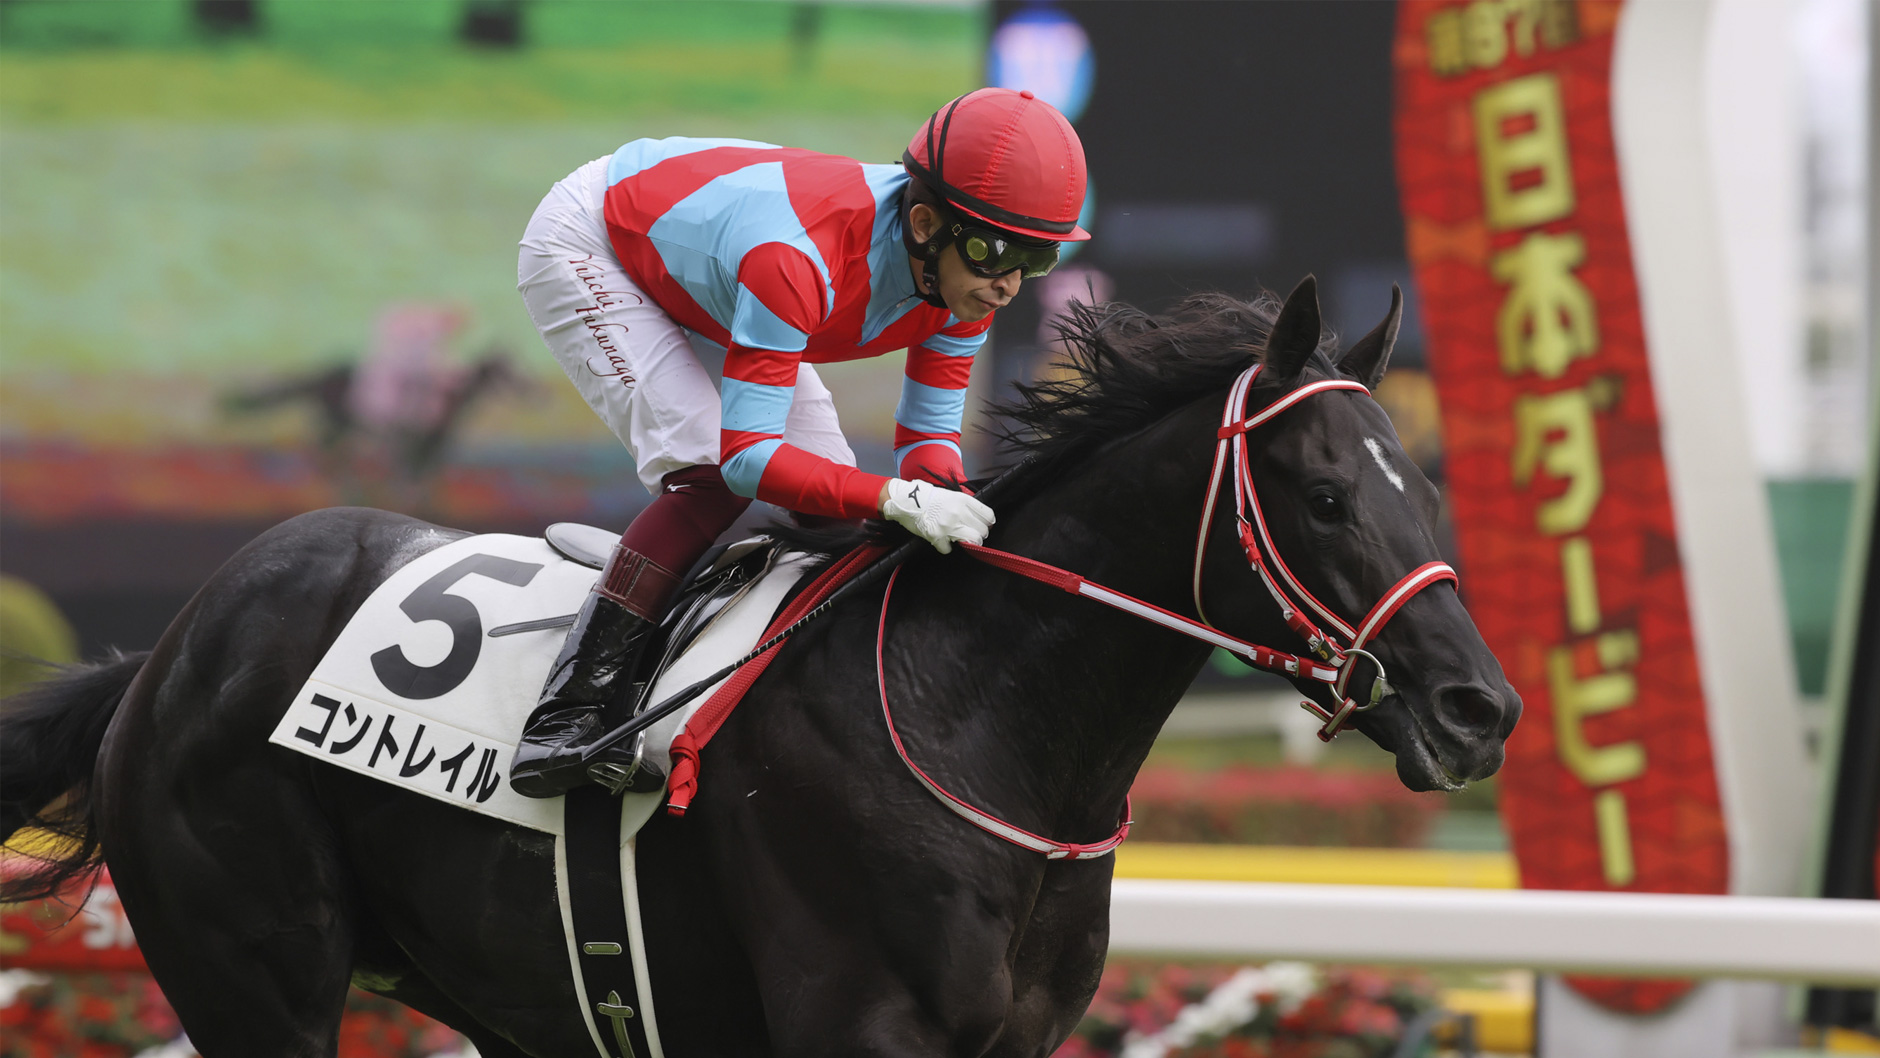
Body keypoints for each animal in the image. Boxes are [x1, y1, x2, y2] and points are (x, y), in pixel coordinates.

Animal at [1, 278, 1519, 1057]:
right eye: (1324, 496)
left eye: (1427, 485)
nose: (1479, 706)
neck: (975, 719)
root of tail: (167, 650)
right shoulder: (858, 1025)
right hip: (251, 972)